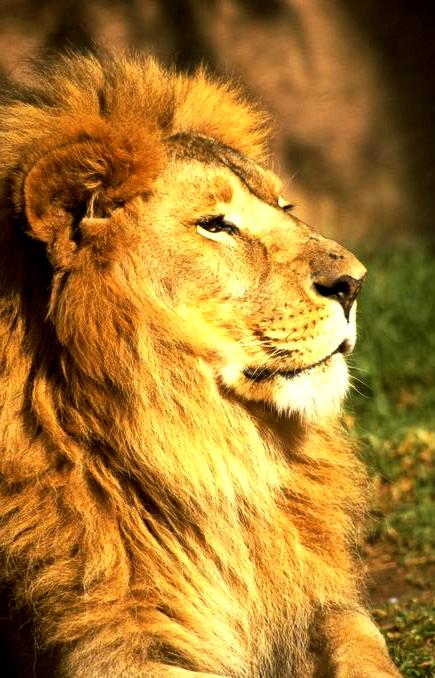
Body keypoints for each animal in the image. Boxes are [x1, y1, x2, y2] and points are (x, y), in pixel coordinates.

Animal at [0, 53, 400, 677]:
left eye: (285, 208)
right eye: (215, 225)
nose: (354, 283)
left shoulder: (323, 602)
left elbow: (366, 651)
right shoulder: (113, 640)